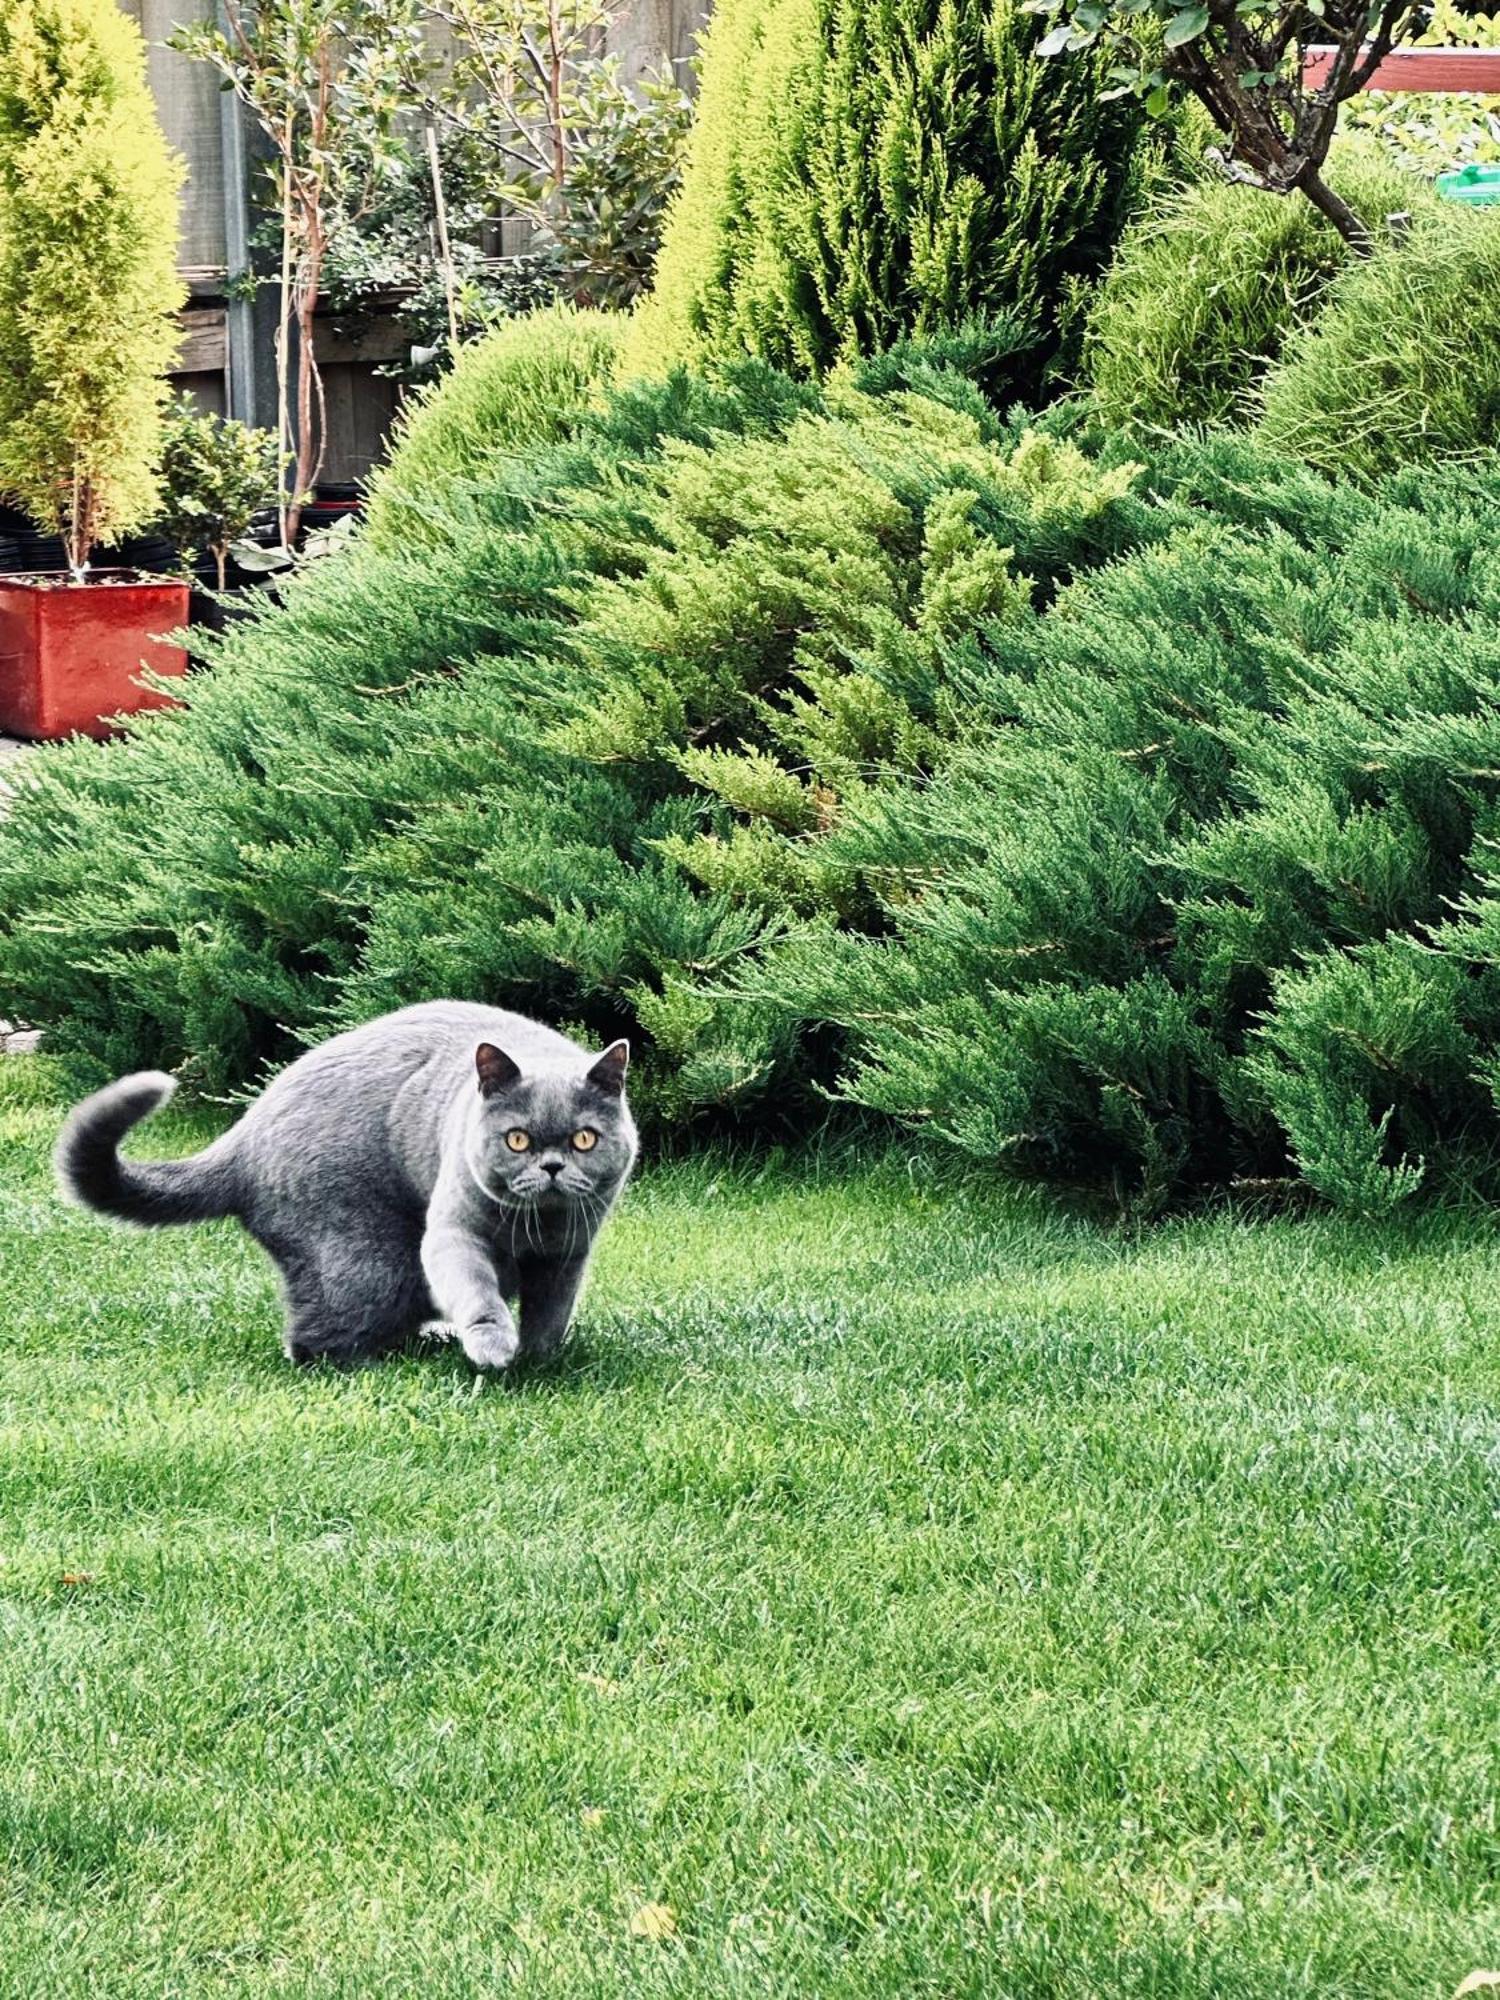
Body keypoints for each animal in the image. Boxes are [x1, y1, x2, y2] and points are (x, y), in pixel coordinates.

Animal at [54, 1008, 636, 1368]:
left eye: (584, 1138)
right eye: (517, 1139)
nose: (553, 1166)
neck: (537, 1226)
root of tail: (241, 1140)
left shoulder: (569, 1252)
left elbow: (552, 1310)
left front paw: (539, 1359)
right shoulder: (455, 1230)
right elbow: (475, 1287)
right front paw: (494, 1346)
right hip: (368, 1258)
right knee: (316, 1335)